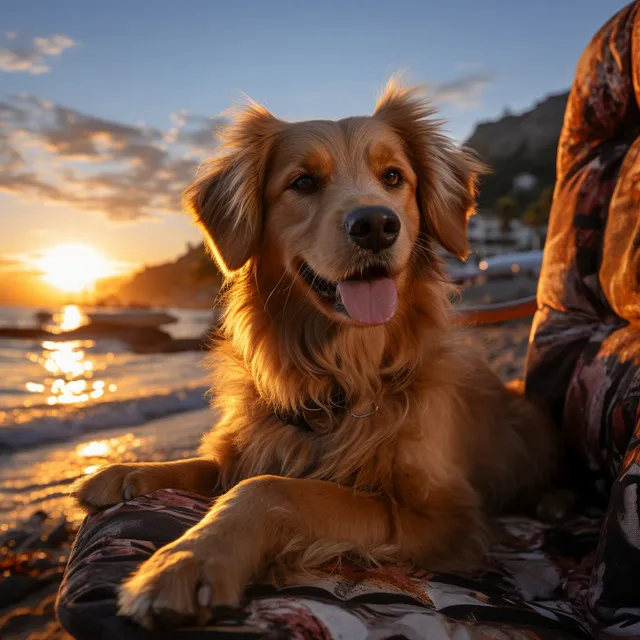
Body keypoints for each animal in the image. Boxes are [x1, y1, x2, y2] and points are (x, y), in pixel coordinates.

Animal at [72, 81, 556, 632]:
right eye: (302, 182)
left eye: (393, 176)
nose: (375, 224)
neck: (341, 375)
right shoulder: (256, 441)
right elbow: (212, 463)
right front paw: (130, 471)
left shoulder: (445, 518)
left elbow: (272, 488)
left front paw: (189, 559)